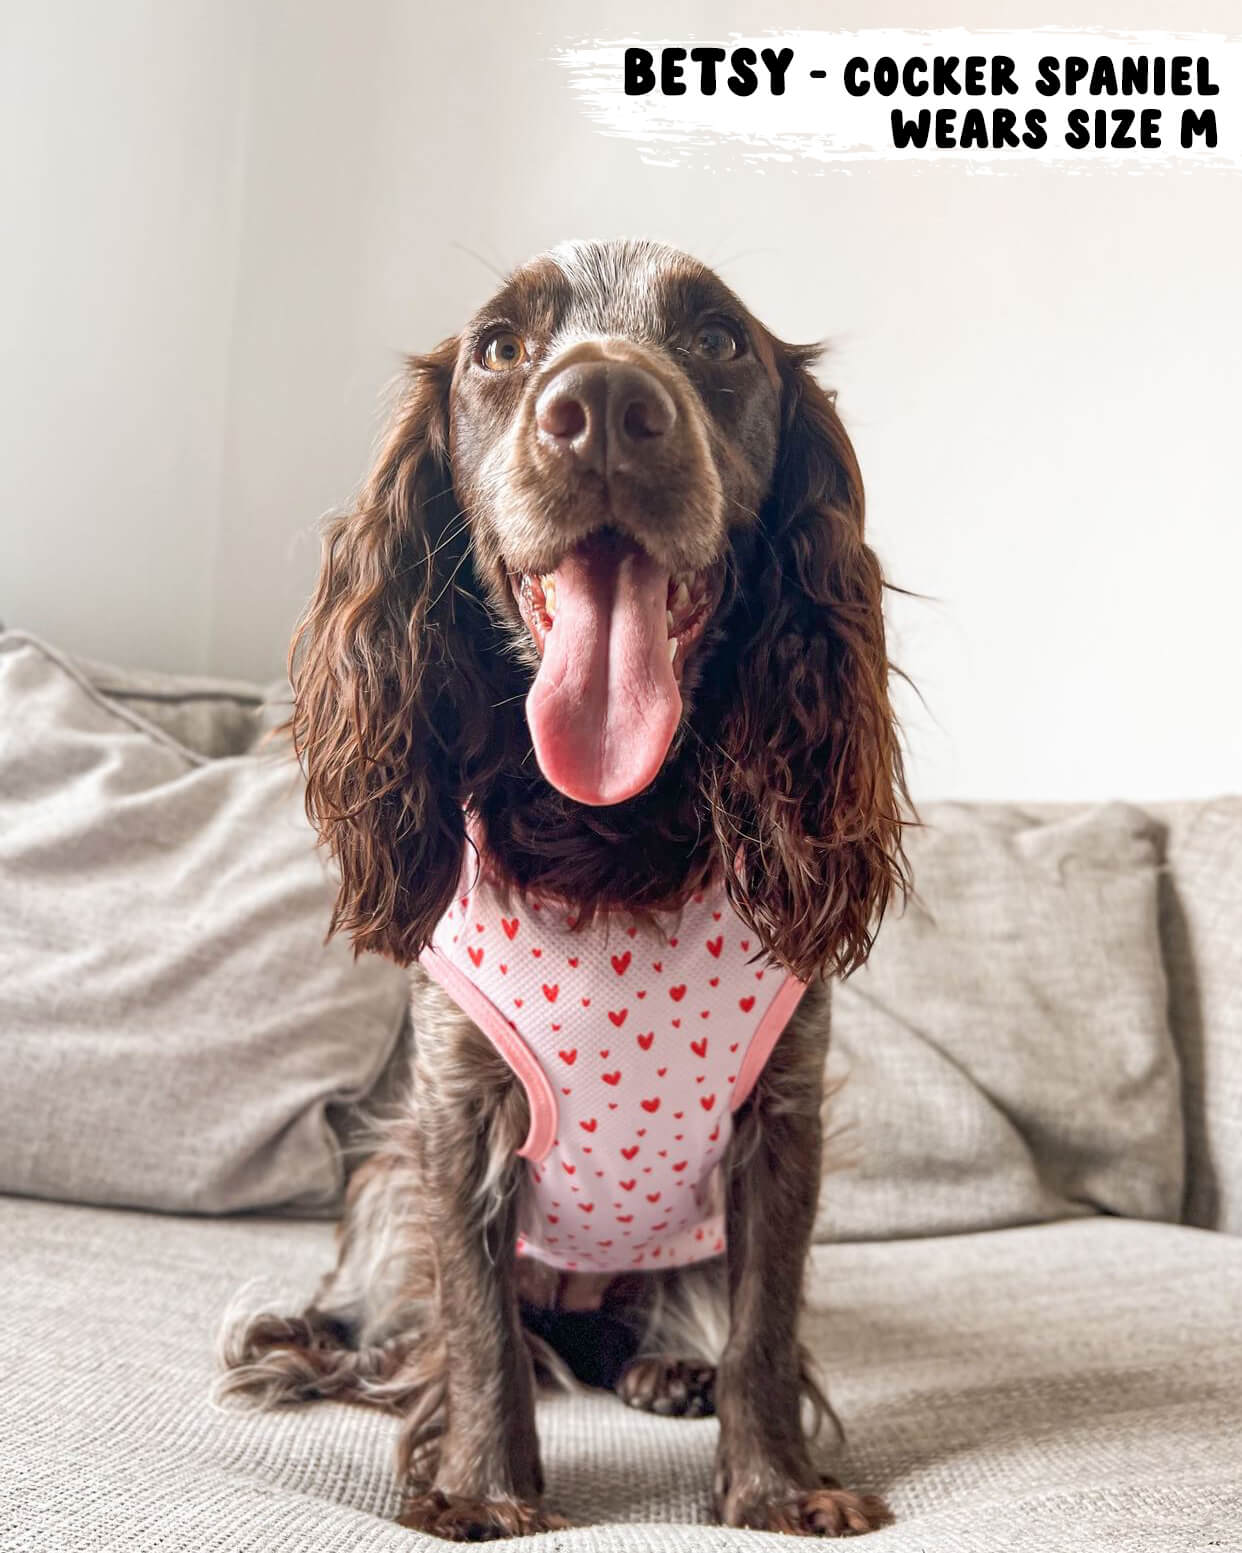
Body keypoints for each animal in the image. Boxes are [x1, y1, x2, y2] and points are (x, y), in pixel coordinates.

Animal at [218, 236, 906, 1534]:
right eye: (499, 346)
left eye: (719, 338)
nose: (603, 410)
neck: (613, 830)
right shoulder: (451, 1113)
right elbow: (479, 1326)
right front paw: (484, 1487)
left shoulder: (781, 1116)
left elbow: (767, 1324)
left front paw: (776, 1486)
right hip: (384, 1187)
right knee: (403, 1324)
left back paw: (664, 1362)